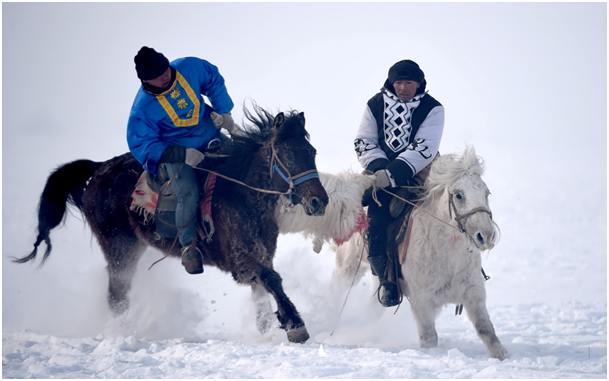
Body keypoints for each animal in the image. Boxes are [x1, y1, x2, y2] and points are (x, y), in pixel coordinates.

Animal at [13, 106, 328, 342]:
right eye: (288, 155)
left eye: (311, 152)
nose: (319, 202)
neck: (242, 193)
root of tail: (98, 168)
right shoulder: (239, 259)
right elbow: (271, 279)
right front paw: (295, 325)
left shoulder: (261, 252)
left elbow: (263, 293)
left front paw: (268, 331)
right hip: (119, 247)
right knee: (117, 295)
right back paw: (123, 333)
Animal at [278, 146, 510, 360]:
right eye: (459, 195)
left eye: (486, 193)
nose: (485, 236)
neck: (447, 254)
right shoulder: (421, 301)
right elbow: (429, 338)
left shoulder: (474, 293)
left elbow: (486, 330)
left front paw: (503, 355)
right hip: (348, 268)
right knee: (336, 292)